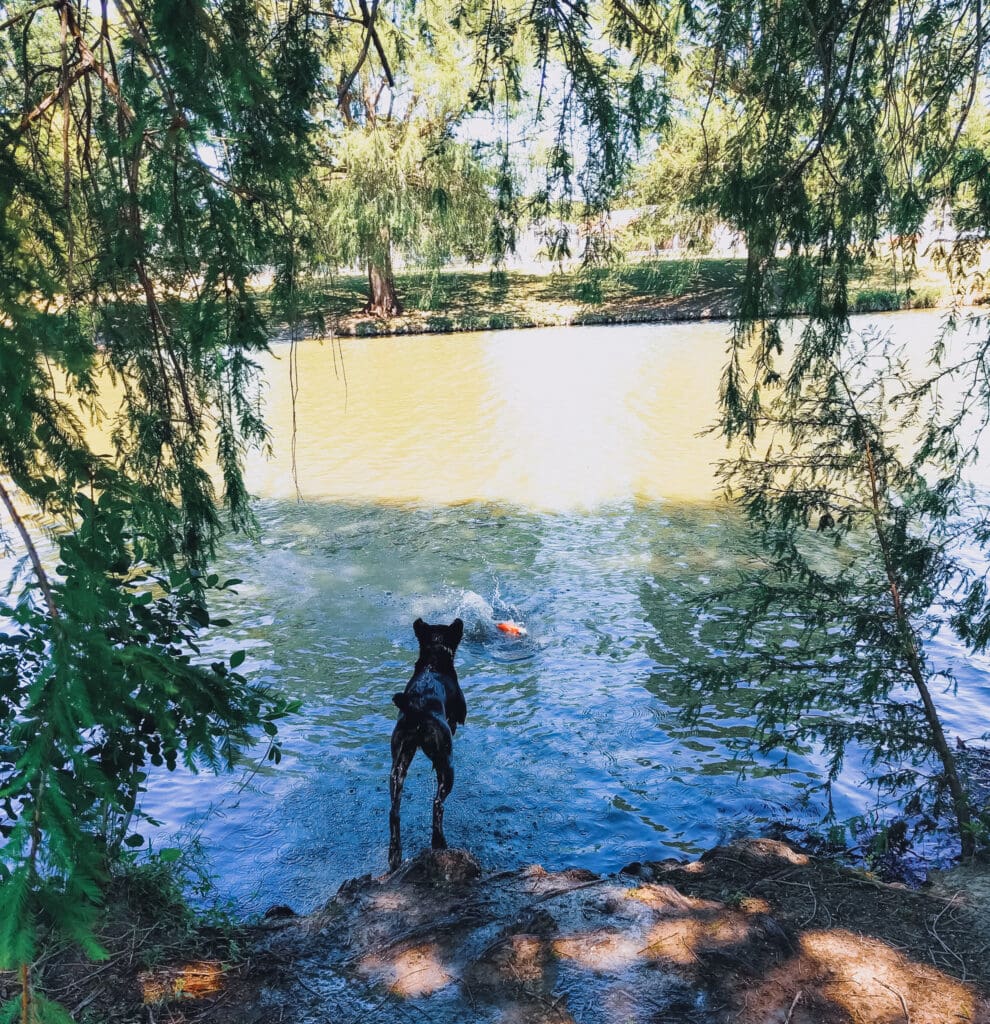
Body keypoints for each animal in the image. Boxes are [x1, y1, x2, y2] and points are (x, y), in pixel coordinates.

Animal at [389, 618, 466, 868]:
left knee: (394, 812)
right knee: (437, 804)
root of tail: (417, 708)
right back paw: (438, 842)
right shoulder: (459, 715)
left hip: (398, 765)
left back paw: (395, 854)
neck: (433, 660)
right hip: (447, 764)